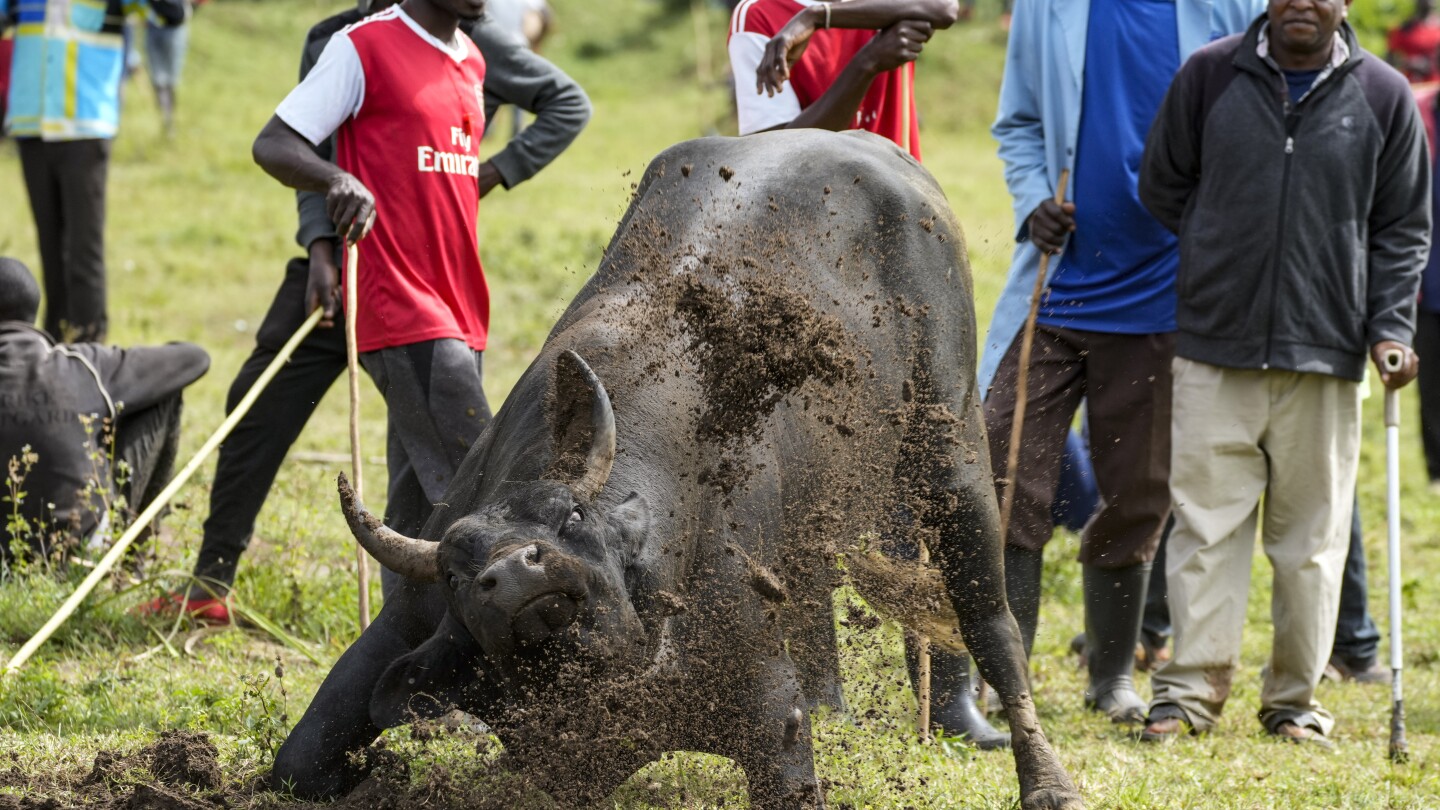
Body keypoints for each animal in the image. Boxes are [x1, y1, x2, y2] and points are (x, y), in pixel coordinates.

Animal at [272, 132, 1082, 807]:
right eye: (456, 572)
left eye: (572, 515)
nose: (515, 572)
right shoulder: (404, 625)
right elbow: (298, 762)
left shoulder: (770, 715)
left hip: (952, 450)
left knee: (994, 624)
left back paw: (1048, 782)